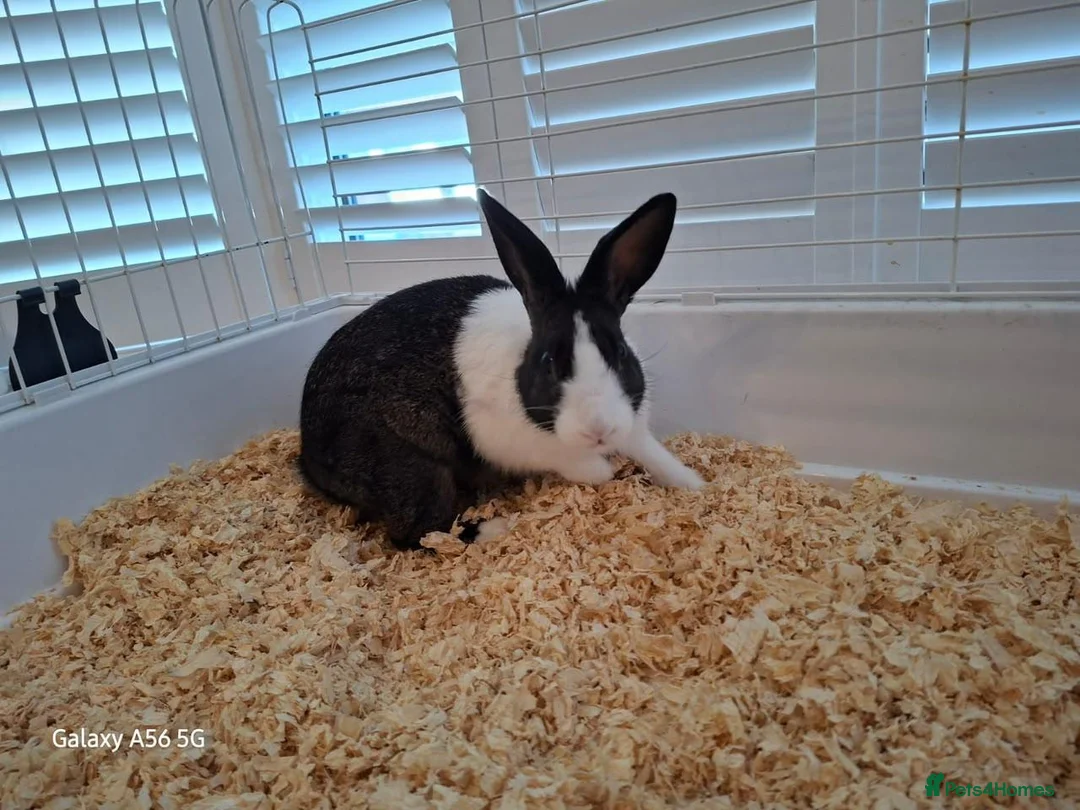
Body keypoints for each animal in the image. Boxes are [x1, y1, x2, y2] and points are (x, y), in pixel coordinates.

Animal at [298, 188, 705, 551]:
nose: (599, 428)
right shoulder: (517, 443)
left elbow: (657, 456)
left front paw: (696, 485)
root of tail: (309, 458)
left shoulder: (635, 429)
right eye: (548, 362)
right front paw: (604, 470)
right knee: (417, 534)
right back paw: (496, 527)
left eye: (619, 352)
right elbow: (588, 469)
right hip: (414, 468)